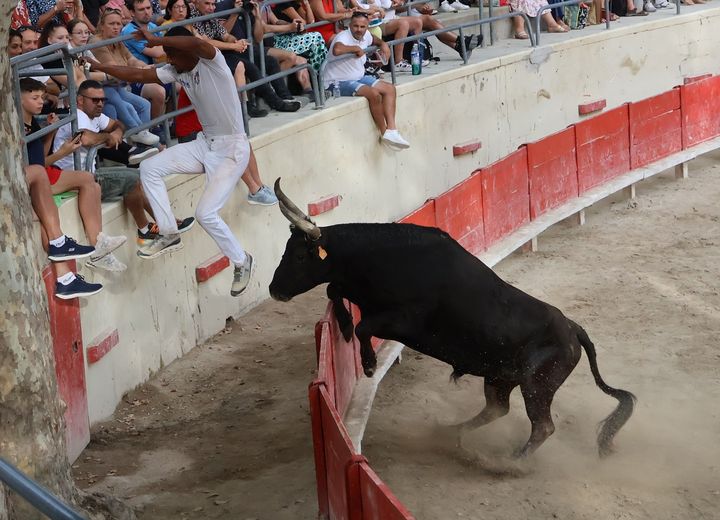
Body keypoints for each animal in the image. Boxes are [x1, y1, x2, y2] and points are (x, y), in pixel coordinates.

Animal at [270, 181, 636, 458]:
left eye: (300, 255)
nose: (274, 289)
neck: (382, 258)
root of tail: (573, 328)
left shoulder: (404, 323)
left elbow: (363, 325)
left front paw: (370, 364)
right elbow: (334, 290)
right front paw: (344, 326)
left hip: (537, 386)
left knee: (542, 426)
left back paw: (512, 462)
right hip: (499, 376)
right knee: (497, 409)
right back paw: (451, 433)